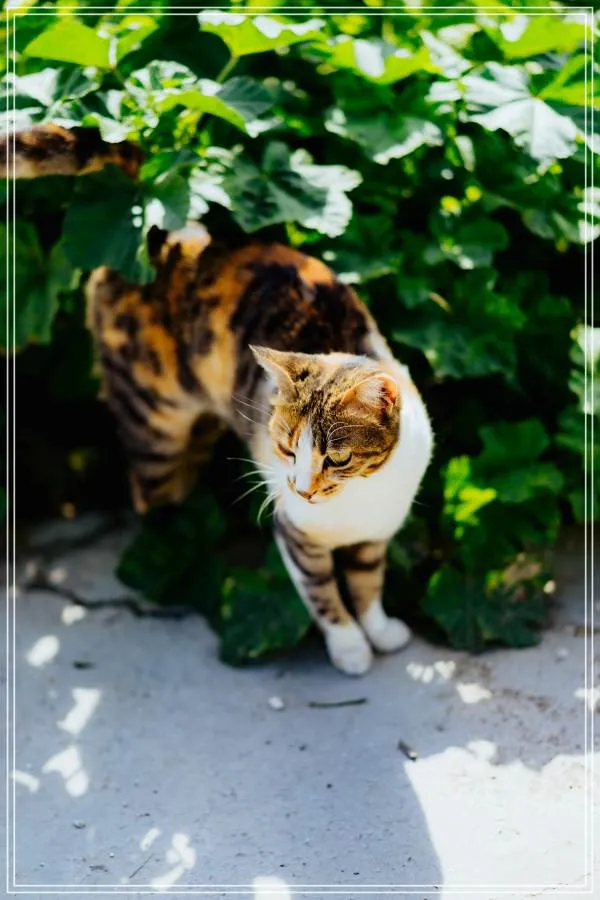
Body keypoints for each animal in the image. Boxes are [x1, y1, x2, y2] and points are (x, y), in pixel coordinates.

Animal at [2, 125, 434, 675]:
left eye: (337, 458)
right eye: (287, 448)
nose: (302, 490)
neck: (357, 501)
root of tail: (158, 232)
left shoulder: (378, 531)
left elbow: (367, 581)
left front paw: (379, 630)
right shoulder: (295, 535)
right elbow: (323, 594)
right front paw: (350, 648)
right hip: (152, 421)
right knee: (150, 488)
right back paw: (169, 546)